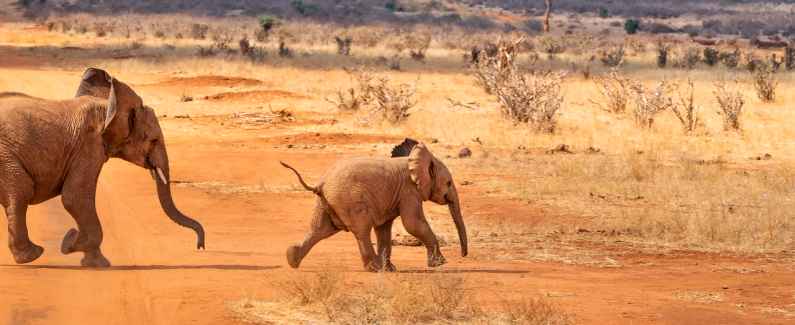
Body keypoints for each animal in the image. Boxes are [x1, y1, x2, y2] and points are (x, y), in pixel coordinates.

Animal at [0, 67, 205, 266]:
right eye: (153, 140)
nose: (200, 246)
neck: (107, 106)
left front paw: (75, 247)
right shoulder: (88, 145)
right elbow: (75, 197)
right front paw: (84, 253)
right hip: (5, 157)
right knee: (22, 190)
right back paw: (32, 255)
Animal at [282, 138, 466, 270]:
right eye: (449, 183)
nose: (463, 256)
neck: (413, 159)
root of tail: (321, 184)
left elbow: (384, 228)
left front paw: (390, 269)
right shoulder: (409, 191)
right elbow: (412, 223)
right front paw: (441, 264)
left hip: (326, 202)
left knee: (320, 230)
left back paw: (292, 259)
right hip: (350, 201)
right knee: (361, 230)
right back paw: (374, 268)